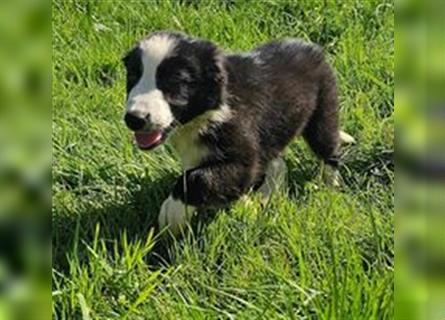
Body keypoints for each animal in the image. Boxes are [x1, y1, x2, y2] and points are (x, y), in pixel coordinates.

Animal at [122, 31, 354, 234]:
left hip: (323, 111)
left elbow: (196, 178)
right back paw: (265, 197)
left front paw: (172, 214)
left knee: (329, 150)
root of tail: (311, 47)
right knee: (278, 164)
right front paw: (246, 205)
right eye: (133, 75)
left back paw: (329, 187)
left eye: (175, 81)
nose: (134, 119)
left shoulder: (243, 156)